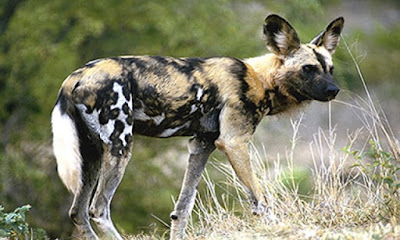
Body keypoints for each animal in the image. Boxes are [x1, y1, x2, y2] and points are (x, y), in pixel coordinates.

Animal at [50, 14, 344, 239]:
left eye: (330, 69)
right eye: (308, 69)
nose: (334, 90)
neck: (259, 79)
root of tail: (75, 76)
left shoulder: (201, 145)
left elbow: (182, 209)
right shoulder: (234, 143)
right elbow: (260, 200)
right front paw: (276, 228)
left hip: (90, 154)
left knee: (78, 212)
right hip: (120, 144)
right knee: (98, 209)